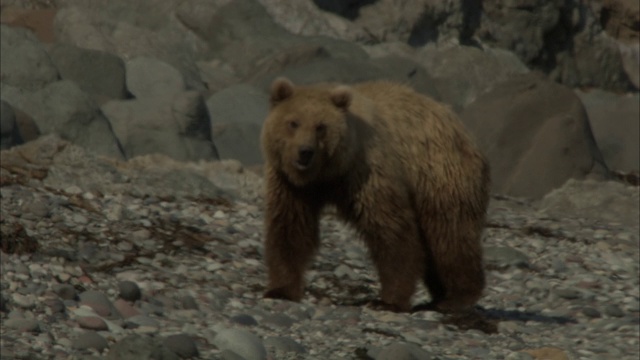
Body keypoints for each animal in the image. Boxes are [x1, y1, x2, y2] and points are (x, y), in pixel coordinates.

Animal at [260, 78, 490, 312]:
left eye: (321, 126)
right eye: (293, 123)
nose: (305, 152)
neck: (328, 174)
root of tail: (462, 128)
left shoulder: (366, 173)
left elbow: (391, 229)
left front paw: (388, 300)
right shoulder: (291, 184)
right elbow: (290, 228)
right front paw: (281, 289)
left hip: (440, 175)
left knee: (449, 234)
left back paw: (456, 297)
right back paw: (439, 296)